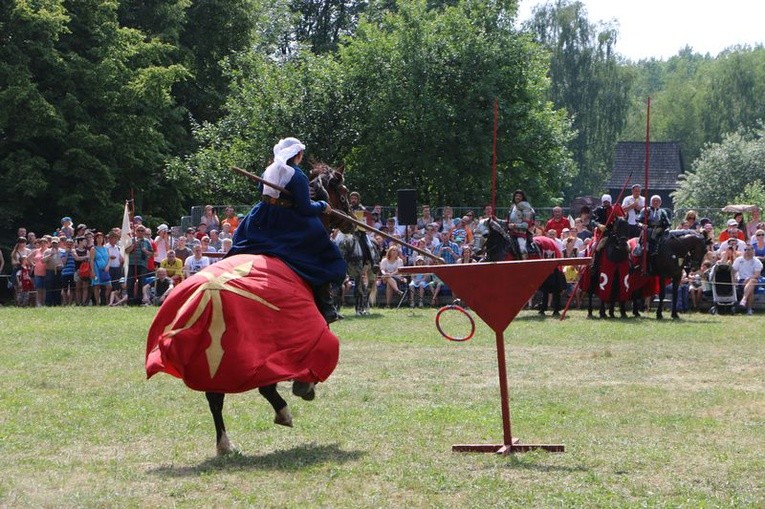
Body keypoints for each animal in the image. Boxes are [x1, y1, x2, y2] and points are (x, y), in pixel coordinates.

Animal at [146, 162, 356, 452]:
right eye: (344, 193)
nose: (352, 221)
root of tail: (208, 295)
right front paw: (305, 385)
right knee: (262, 387)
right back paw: (283, 412)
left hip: (212, 360)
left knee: (215, 397)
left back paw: (225, 443)